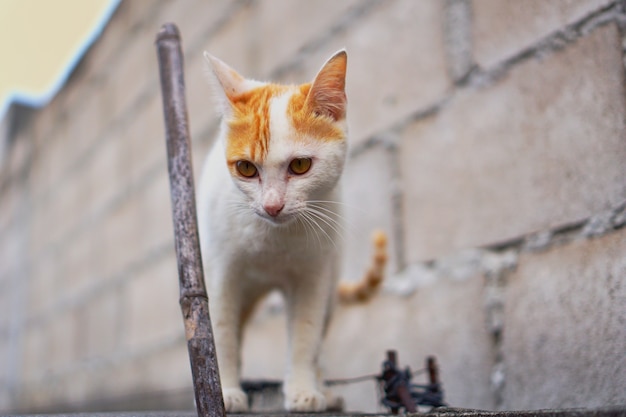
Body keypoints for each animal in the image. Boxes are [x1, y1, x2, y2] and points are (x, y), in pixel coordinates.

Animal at [199, 50, 386, 412]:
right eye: (246, 168)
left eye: (300, 165)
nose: (272, 206)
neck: (273, 241)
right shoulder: (220, 272)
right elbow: (222, 331)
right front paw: (224, 392)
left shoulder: (313, 276)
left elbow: (305, 334)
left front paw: (302, 390)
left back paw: (323, 388)